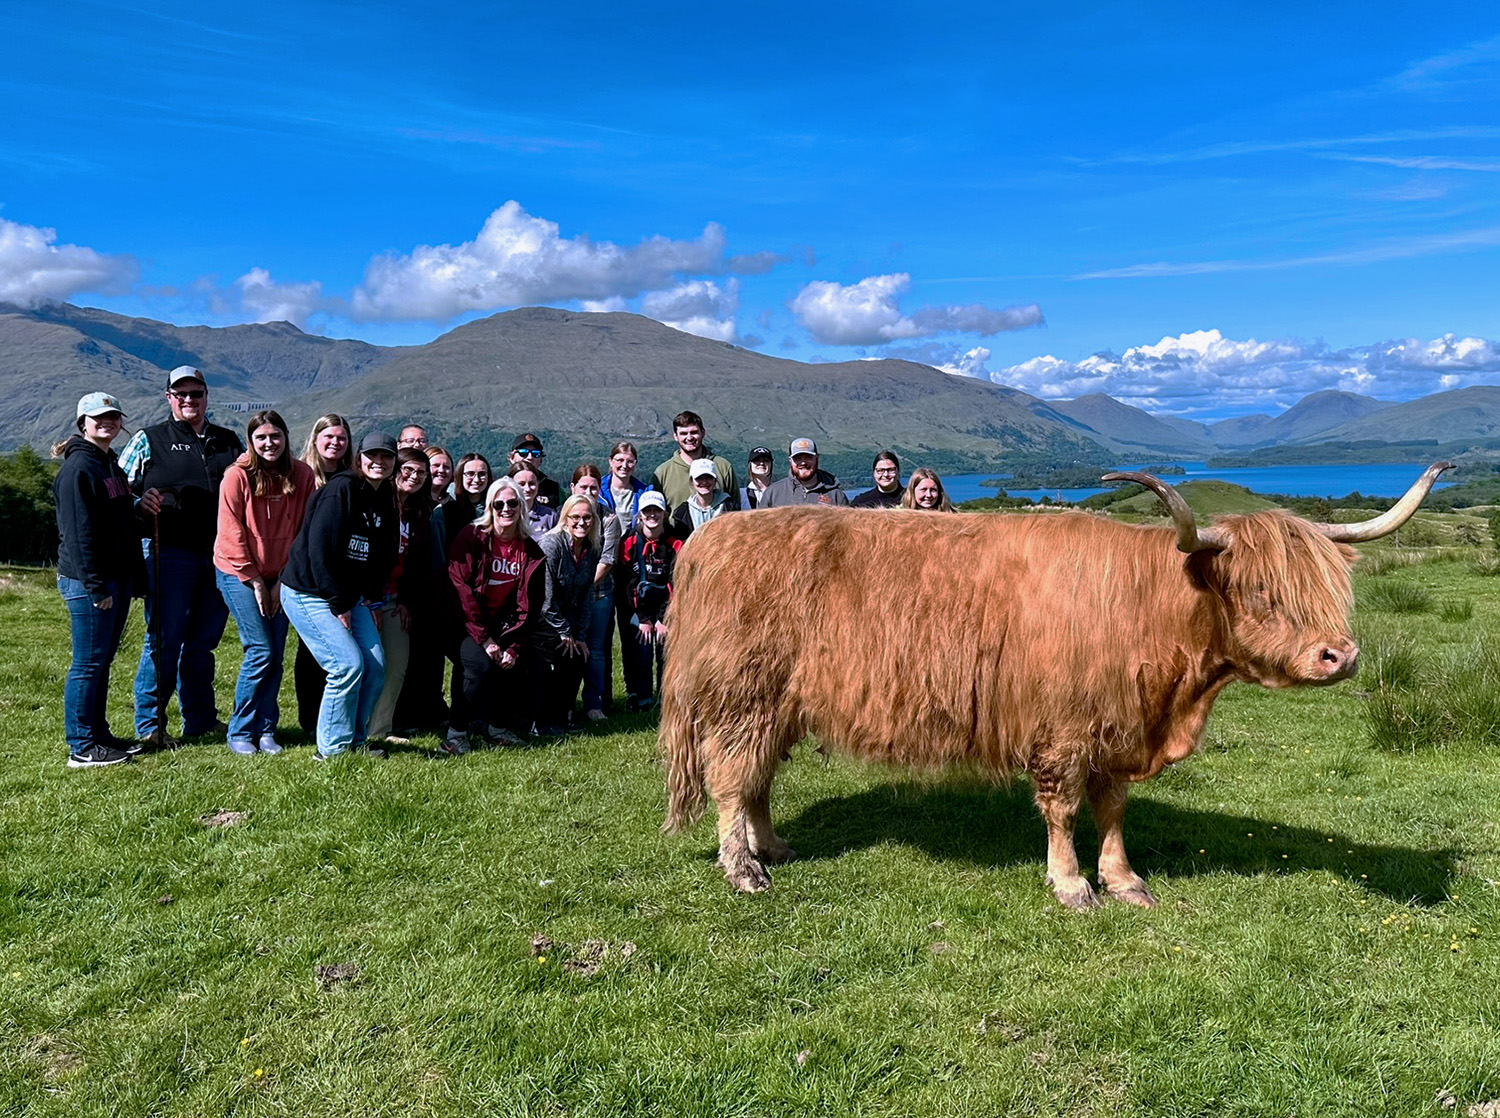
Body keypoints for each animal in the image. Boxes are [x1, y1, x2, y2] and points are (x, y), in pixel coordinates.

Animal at [660, 462, 1452, 906]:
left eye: (1327, 586)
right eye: (1260, 591)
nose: (1338, 656)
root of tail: (712, 538)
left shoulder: (1120, 729)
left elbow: (1113, 809)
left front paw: (1124, 880)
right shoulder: (1063, 731)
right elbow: (1065, 810)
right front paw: (1072, 885)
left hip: (776, 705)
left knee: (757, 779)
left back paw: (774, 847)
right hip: (739, 698)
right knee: (731, 780)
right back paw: (744, 869)